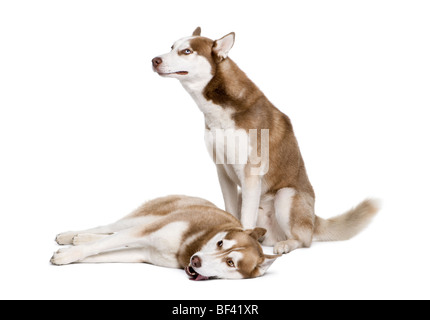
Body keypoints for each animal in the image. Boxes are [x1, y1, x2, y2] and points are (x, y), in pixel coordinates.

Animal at [51, 195, 278, 280]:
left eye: (230, 262)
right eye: (220, 243)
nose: (196, 260)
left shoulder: (142, 253)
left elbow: (100, 254)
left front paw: (68, 255)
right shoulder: (146, 231)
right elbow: (101, 245)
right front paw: (65, 255)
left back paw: (79, 238)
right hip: (144, 218)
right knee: (108, 228)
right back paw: (69, 235)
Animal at [152, 27, 380, 254]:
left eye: (187, 51)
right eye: (172, 47)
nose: (154, 60)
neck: (218, 111)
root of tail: (314, 218)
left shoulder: (250, 172)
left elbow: (245, 219)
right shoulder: (222, 170)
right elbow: (230, 211)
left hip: (286, 196)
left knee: (304, 240)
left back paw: (286, 244)